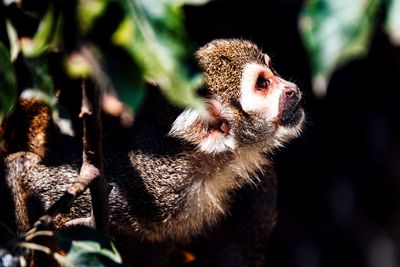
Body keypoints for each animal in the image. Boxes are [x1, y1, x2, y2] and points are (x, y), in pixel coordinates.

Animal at [0, 38, 304, 266]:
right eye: (263, 84)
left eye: (272, 70)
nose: (293, 90)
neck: (202, 163)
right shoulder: (149, 186)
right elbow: (33, 177)